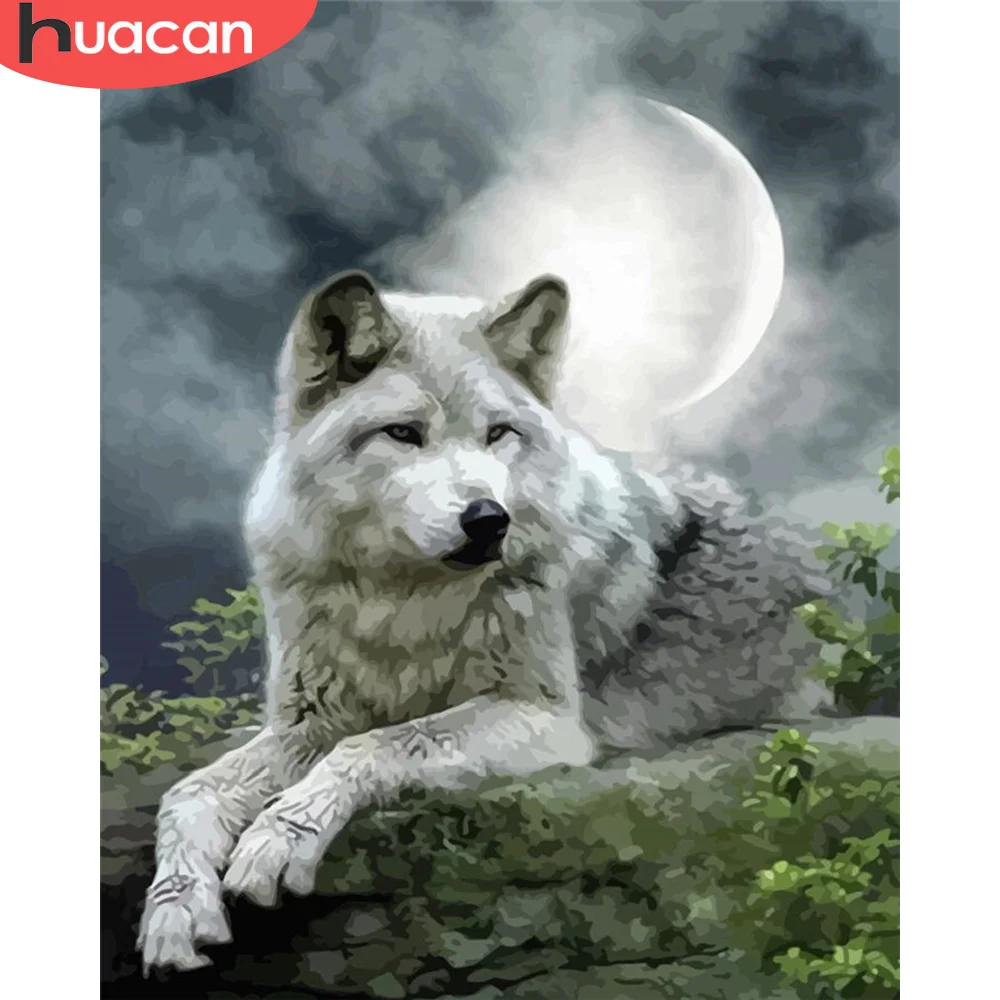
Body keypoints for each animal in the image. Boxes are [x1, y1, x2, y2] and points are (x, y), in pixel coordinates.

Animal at [138, 270, 831, 972]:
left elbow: (379, 743)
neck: (403, 603)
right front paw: (174, 911)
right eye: (404, 434)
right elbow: (187, 793)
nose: (489, 519)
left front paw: (278, 839)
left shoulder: (544, 718)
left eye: (498, 433)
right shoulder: (306, 724)